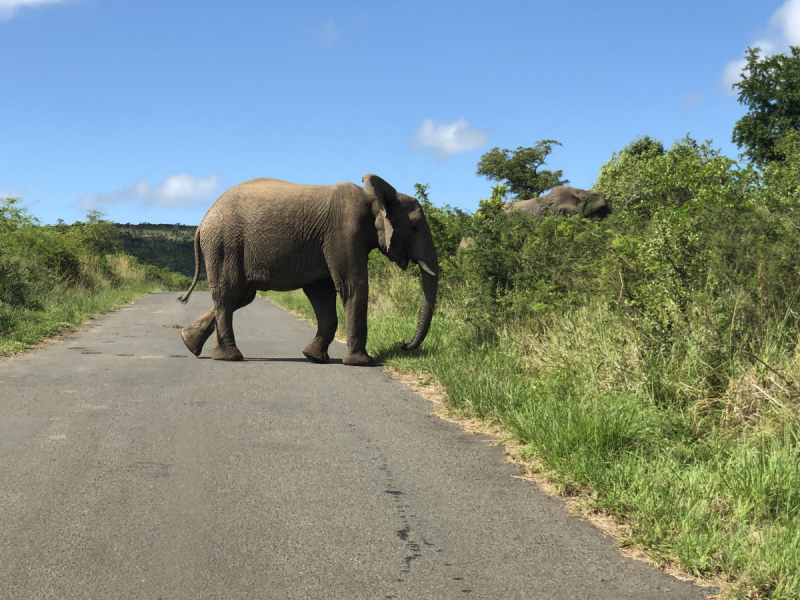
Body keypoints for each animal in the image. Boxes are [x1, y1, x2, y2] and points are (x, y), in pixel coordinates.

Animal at [177, 173, 438, 366]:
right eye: (414, 228)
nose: (401, 343)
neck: (374, 198)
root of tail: (203, 222)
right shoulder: (345, 232)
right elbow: (352, 285)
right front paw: (362, 363)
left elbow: (322, 294)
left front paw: (314, 357)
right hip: (225, 244)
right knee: (229, 293)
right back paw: (230, 357)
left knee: (240, 296)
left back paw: (190, 343)